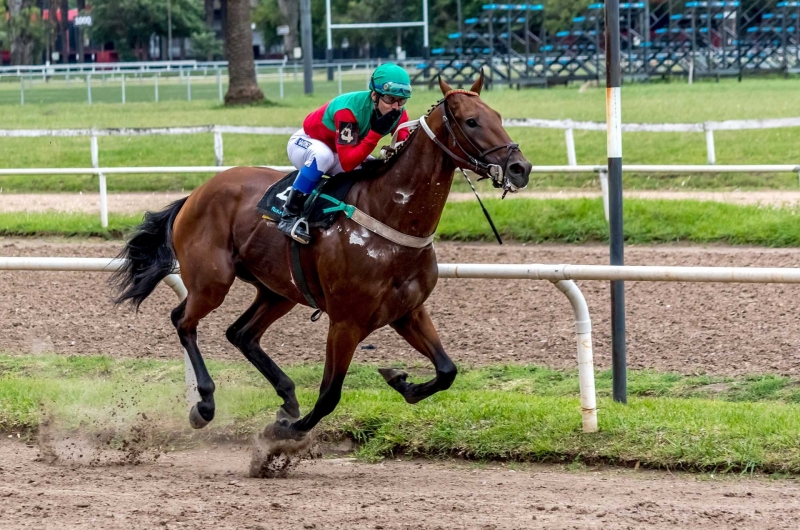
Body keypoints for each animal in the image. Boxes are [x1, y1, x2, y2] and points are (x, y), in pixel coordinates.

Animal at [111, 72, 532, 440]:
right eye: (472, 121)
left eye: (498, 117)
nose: (520, 167)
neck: (389, 216)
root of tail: (195, 193)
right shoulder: (346, 321)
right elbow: (330, 393)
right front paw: (285, 434)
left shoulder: (408, 311)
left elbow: (447, 370)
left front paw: (401, 380)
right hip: (212, 280)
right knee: (183, 321)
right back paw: (205, 405)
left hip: (278, 289)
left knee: (240, 333)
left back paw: (287, 395)